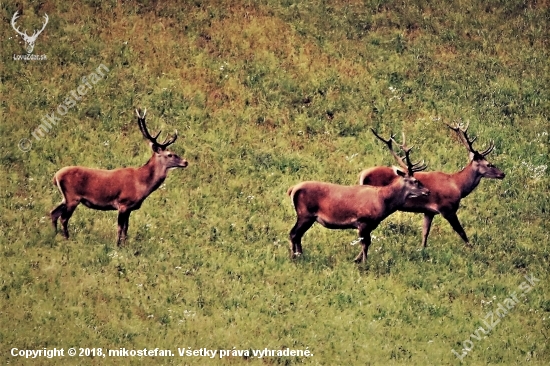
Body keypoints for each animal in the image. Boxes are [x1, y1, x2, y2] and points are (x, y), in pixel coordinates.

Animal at [51, 108, 190, 246]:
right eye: (170, 154)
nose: (185, 162)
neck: (141, 183)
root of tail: (56, 176)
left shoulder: (129, 208)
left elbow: (126, 228)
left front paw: (125, 245)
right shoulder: (123, 203)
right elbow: (119, 227)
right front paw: (117, 246)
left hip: (66, 198)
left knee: (53, 213)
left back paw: (54, 235)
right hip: (72, 197)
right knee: (63, 218)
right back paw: (67, 239)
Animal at [288, 132, 432, 264]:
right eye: (415, 181)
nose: (428, 191)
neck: (382, 201)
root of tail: (292, 189)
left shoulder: (371, 224)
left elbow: (366, 242)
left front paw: (357, 259)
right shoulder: (363, 221)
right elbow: (365, 243)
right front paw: (364, 263)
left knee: (298, 235)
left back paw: (300, 255)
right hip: (305, 213)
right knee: (293, 233)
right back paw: (294, 257)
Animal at [360, 123, 506, 249]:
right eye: (488, 164)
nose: (502, 174)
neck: (457, 185)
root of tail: (362, 175)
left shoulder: (429, 211)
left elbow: (425, 233)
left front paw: (422, 251)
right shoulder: (447, 208)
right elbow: (461, 232)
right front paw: (473, 250)